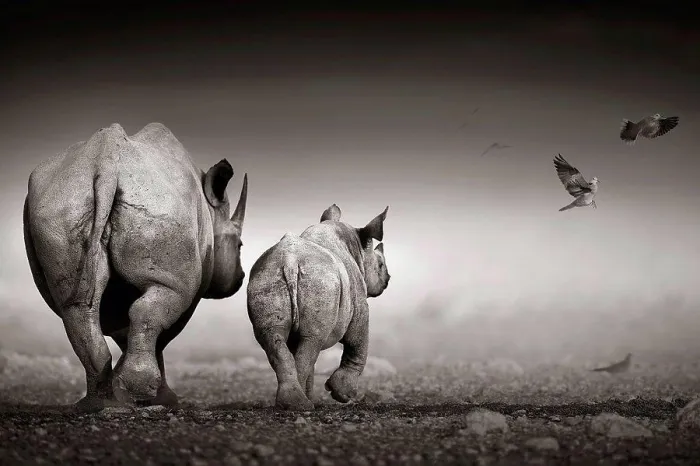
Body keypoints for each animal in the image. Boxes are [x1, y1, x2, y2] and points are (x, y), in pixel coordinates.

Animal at [23, 122, 248, 412]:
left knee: (76, 309)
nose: (240, 277)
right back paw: (133, 395)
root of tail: (105, 162)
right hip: (157, 203)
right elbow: (163, 333)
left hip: (60, 205)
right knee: (155, 304)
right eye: (239, 245)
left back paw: (98, 404)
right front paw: (160, 398)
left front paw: (127, 389)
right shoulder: (189, 282)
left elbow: (124, 330)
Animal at [247, 203, 390, 410]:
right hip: (320, 282)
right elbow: (358, 344)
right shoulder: (359, 304)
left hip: (266, 278)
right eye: (380, 265)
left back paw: (295, 403)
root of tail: (290, 261)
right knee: (312, 340)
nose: (387, 279)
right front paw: (342, 394)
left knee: (275, 337)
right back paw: (301, 405)